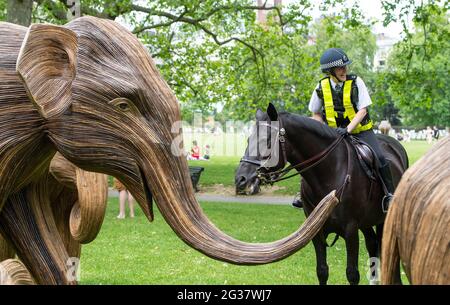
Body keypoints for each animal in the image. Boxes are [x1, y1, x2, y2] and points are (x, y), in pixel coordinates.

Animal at [239, 103, 408, 284]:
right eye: (248, 140)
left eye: (267, 141)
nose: (241, 179)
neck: (329, 172)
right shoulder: (315, 231)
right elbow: (322, 271)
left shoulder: (350, 229)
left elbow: (352, 273)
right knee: (372, 244)